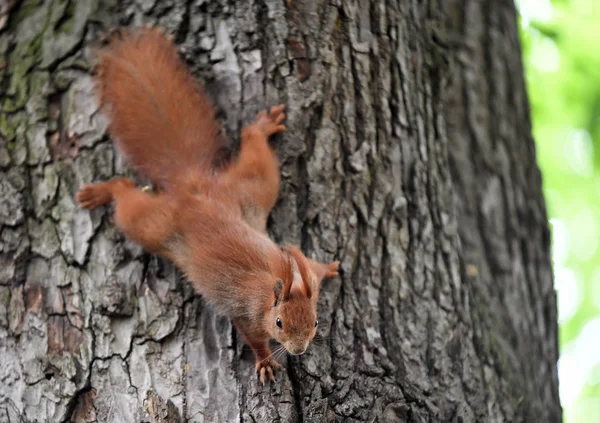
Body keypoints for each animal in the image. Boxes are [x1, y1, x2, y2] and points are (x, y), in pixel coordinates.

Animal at [75, 27, 338, 384]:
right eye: (279, 322)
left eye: (315, 321)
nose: (298, 351)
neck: (272, 286)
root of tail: (192, 187)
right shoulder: (246, 314)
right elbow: (253, 338)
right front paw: (266, 361)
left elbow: (313, 267)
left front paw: (329, 267)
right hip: (153, 224)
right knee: (125, 196)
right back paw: (102, 191)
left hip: (251, 189)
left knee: (255, 153)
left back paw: (262, 127)